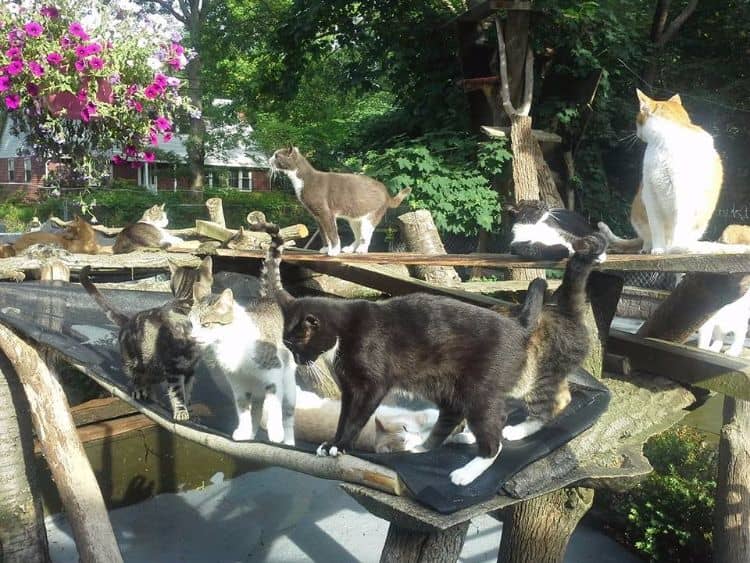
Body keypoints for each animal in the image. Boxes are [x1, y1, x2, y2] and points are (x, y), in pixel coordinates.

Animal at [79, 256, 213, 420]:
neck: (187, 302)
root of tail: (128, 321)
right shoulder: (173, 367)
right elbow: (177, 393)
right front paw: (181, 411)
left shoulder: (190, 369)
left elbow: (187, 391)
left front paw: (188, 409)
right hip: (134, 362)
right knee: (135, 378)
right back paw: (140, 391)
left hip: (156, 371)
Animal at [189, 222, 298, 444]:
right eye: (192, 323)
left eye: (206, 325)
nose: (193, 337)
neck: (228, 345)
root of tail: (269, 298)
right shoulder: (238, 385)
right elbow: (243, 410)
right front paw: (244, 431)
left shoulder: (273, 374)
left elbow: (274, 407)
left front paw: (275, 433)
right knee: (256, 409)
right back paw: (252, 434)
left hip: (289, 384)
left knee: (288, 414)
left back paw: (288, 440)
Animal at [269, 146, 412, 256]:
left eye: (276, 155)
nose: (269, 160)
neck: (302, 180)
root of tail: (387, 193)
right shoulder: (317, 216)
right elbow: (324, 234)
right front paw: (325, 248)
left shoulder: (325, 212)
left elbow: (332, 233)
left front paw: (333, 251)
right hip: (355, 219)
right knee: (358, 235)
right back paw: (349, 249)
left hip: (371, 216)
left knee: (366, 234)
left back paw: (361, 250)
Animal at [279, 231, 607, 485]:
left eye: (295, 344)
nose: (296, 360)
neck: (344, 330)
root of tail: (520, 325)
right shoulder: (349, 389)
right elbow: (344, 417)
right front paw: (332, 443)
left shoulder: (372, 386)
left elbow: (358, 418)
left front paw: (341, 447)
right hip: (448, 387)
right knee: (456, 417)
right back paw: (429, 445)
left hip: (479, 388)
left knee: (498, 429)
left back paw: (470, 469)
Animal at [598, 89, 723, 255]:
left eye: (637, 120)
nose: (637, 133)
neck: (664, 142)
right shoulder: (650, 194)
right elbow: (656, 227)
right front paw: (658, 249)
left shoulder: (682, 195)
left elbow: (680, 226)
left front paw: (678, 247)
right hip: (638, 209)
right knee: (647, 236)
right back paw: (648, 248)